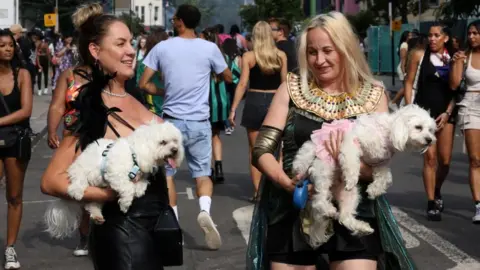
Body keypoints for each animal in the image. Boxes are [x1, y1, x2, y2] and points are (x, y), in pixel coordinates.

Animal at [44, 122, 184, 238]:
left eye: (175, 141)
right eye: (163, 142)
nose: (175, 150)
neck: (135, 155)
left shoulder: (140, 175)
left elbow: (142, 183)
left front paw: (139, 190)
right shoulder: (116, 175)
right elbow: (128, 188)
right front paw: (125, 204)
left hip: (98, 193)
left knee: (92, 204)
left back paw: (97, 215)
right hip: (81, 170)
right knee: (78, 181)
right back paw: (77, 191)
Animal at [290, 104, 436, 248]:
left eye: (430, 130)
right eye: (418, 127)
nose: (430, 140)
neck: (388, 132)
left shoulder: (379, 164)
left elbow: (385, 177)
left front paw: (374, 190)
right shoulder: (351, 142)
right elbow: (351, 161)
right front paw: (351, 178)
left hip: (350, 195)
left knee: (344, 217)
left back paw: (363, 227)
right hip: (324, 169)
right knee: (319, 199)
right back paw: (328, 209)